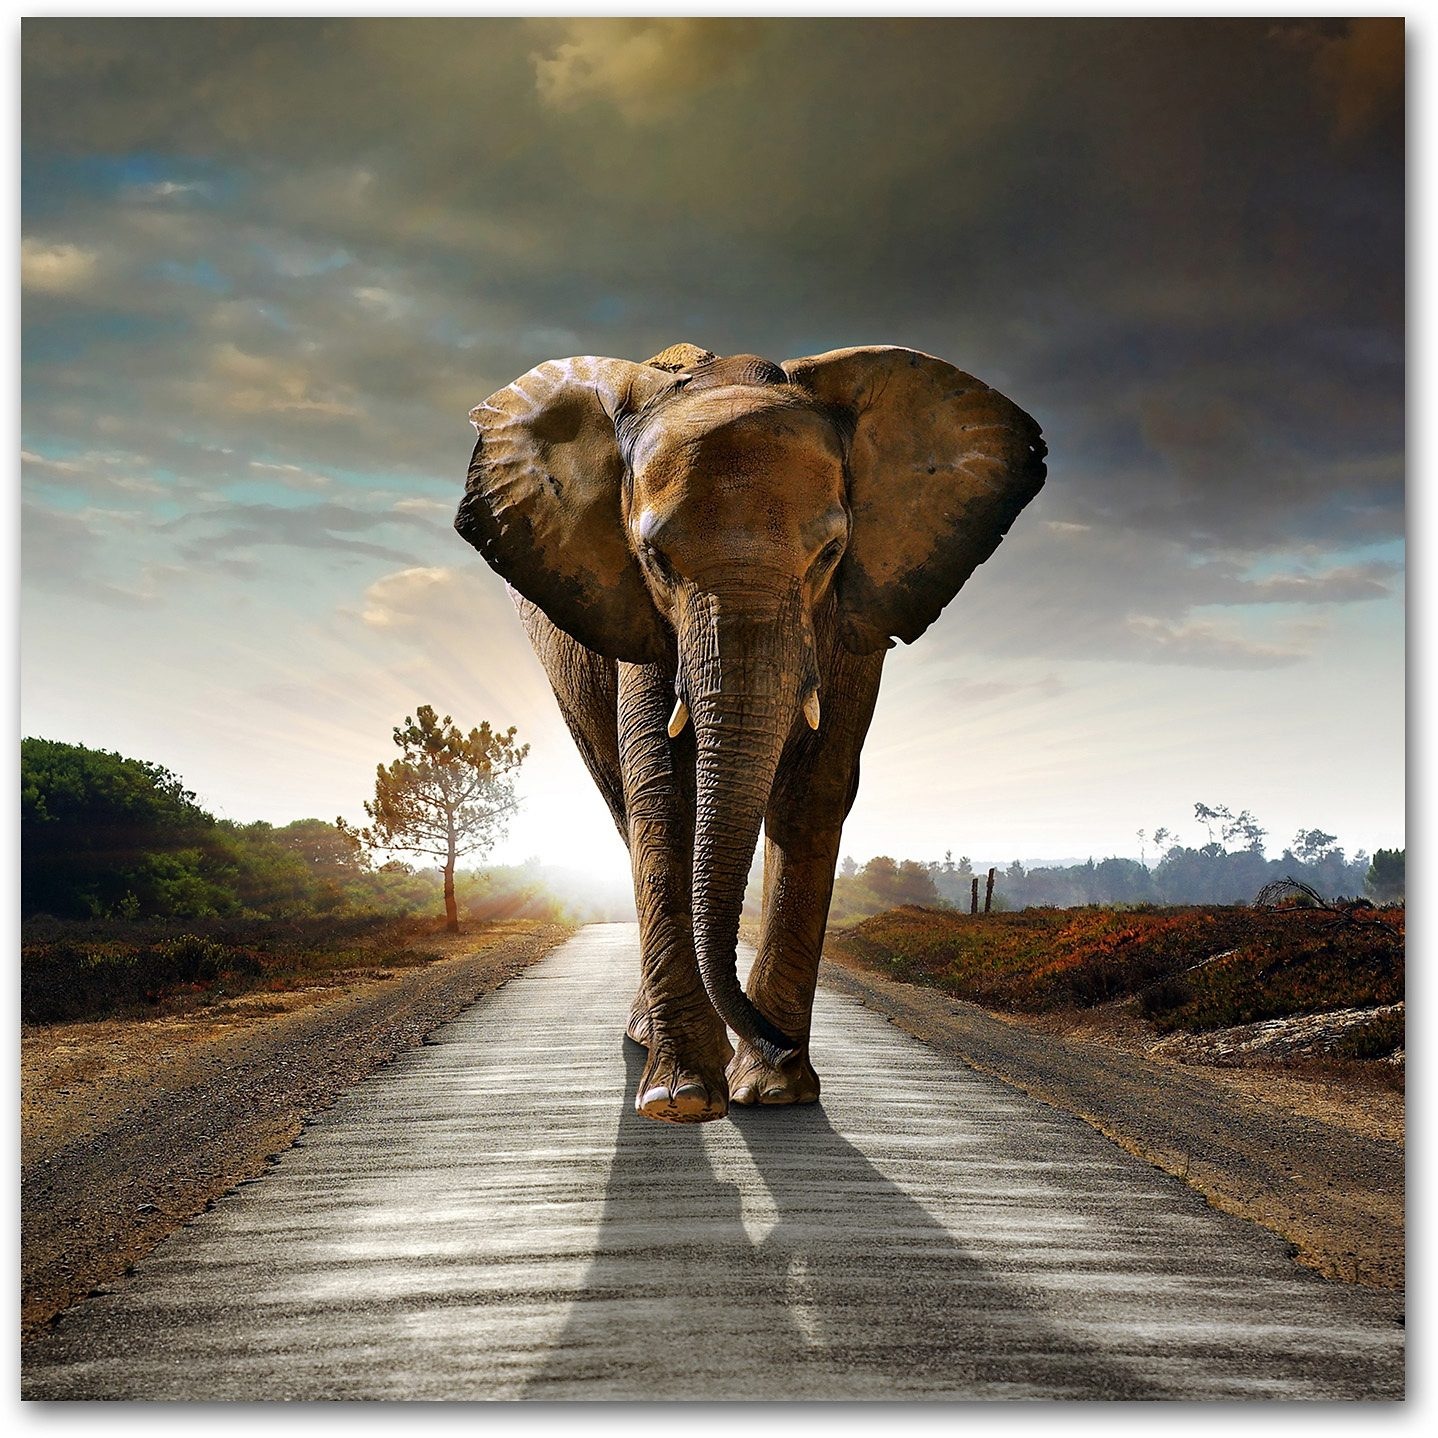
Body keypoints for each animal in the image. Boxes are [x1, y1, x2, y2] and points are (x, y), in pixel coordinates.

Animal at [455, 342, 1045, 1123]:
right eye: (656, 560)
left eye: (830, 555)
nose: (775, 1041)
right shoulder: (638, 615)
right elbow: (663, 791)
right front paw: (682, 1099)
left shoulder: (854, 614)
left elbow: (814, 790)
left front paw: (773, 1091)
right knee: (621, 802)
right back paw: (649, 1041)